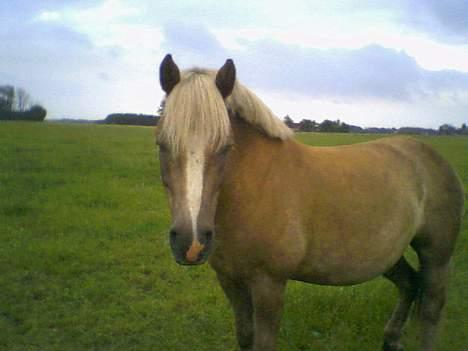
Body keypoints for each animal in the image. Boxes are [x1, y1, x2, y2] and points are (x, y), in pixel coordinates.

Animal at [157, 55, 464, 351]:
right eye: (162, 145)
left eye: (226, 147)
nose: (191, 243)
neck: (254, 189)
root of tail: (429, 155)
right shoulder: (230, 280)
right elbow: (245, 336)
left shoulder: (269, 284)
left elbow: (263, 342)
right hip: (388, 254)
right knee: (410, 284)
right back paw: (390, 340)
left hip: (437, 255)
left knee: (431, 309)